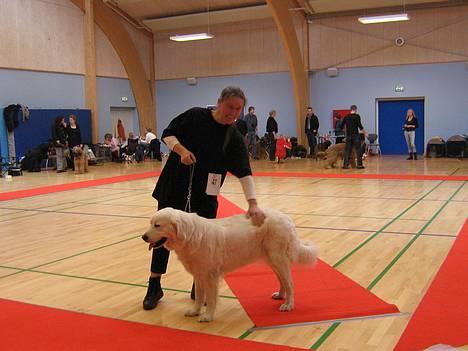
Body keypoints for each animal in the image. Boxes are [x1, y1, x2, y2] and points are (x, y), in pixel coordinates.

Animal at [142, 208, 318, 324]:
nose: (143, 237)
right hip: (272, 260)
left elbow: (210, 299)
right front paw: (195, 311)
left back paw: (288, 305)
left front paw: (207, 316)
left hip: (278, 259)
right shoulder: (199, 275)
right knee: (282, 280)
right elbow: (198, 296)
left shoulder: (210, 276)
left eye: (157, 225)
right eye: (150, 223)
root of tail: (286, 218)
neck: (191, 235)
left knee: (290, 283)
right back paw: (280, 296)